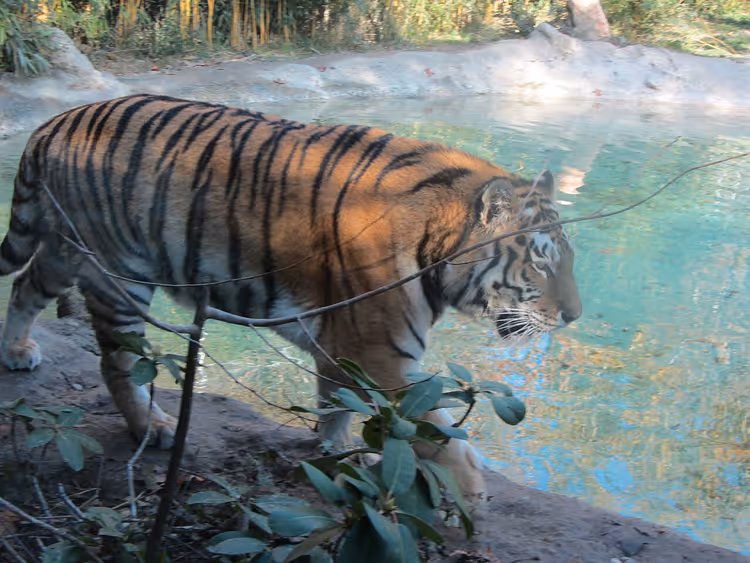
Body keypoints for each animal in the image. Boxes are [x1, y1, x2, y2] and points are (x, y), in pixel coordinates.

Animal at [0, 94, 581, 504]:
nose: (574, 316)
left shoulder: (345, 348)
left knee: (24, 285)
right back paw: (156, 427)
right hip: (119, 275)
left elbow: (336, 407)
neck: (437, 244)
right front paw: (469, 496)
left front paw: (339, 455)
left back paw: (16, 352)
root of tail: (55, 121)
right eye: (542, 263)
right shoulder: (383, 355)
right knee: (118, 363)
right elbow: (435, 432)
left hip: (66, 250)